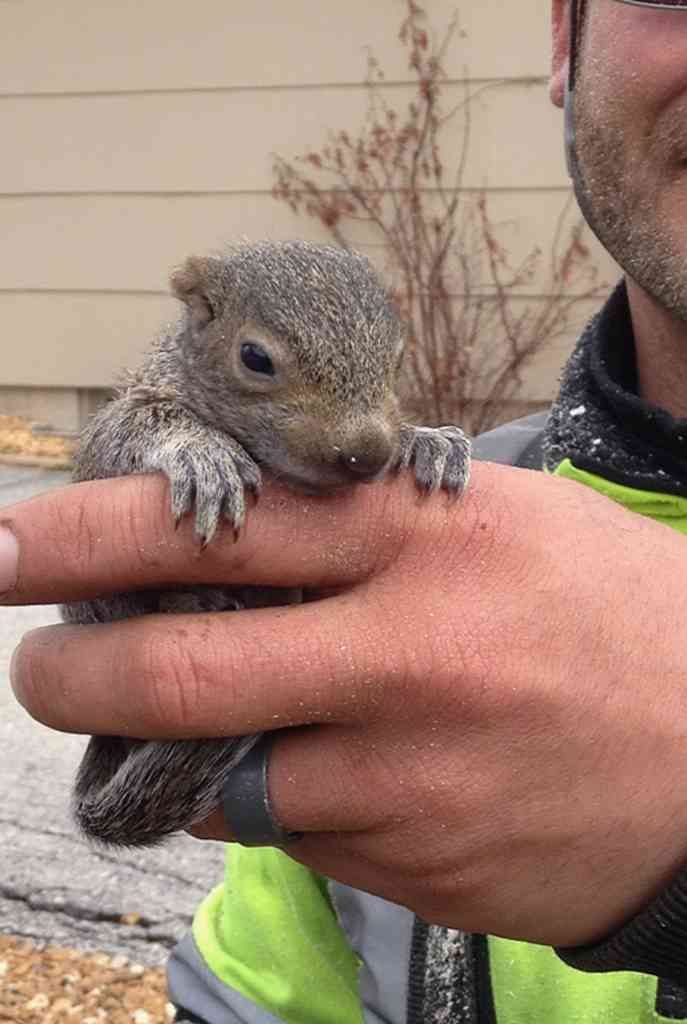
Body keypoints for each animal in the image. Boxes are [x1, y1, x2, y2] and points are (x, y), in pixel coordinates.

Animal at [62, 240, 471, 847]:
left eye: (398, 358)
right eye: (254, 358)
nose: (368, 454)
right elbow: (132, 429)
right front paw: (202, 453)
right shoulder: (115, 434)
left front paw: (428, 443)